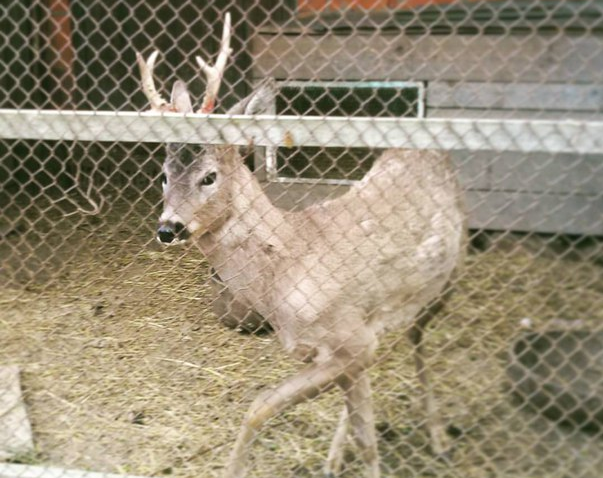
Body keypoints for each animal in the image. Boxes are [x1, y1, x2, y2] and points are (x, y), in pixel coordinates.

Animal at [136, 12, 468, 478]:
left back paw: (438, 437)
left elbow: (273, 410)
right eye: (164, 175)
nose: (168, 228)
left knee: (418, 342)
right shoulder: (332, 348)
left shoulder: (349, 338)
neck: (284, 273)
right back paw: (336, 457)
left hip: (449, 275)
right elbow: (289, 409)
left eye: (209, 177)